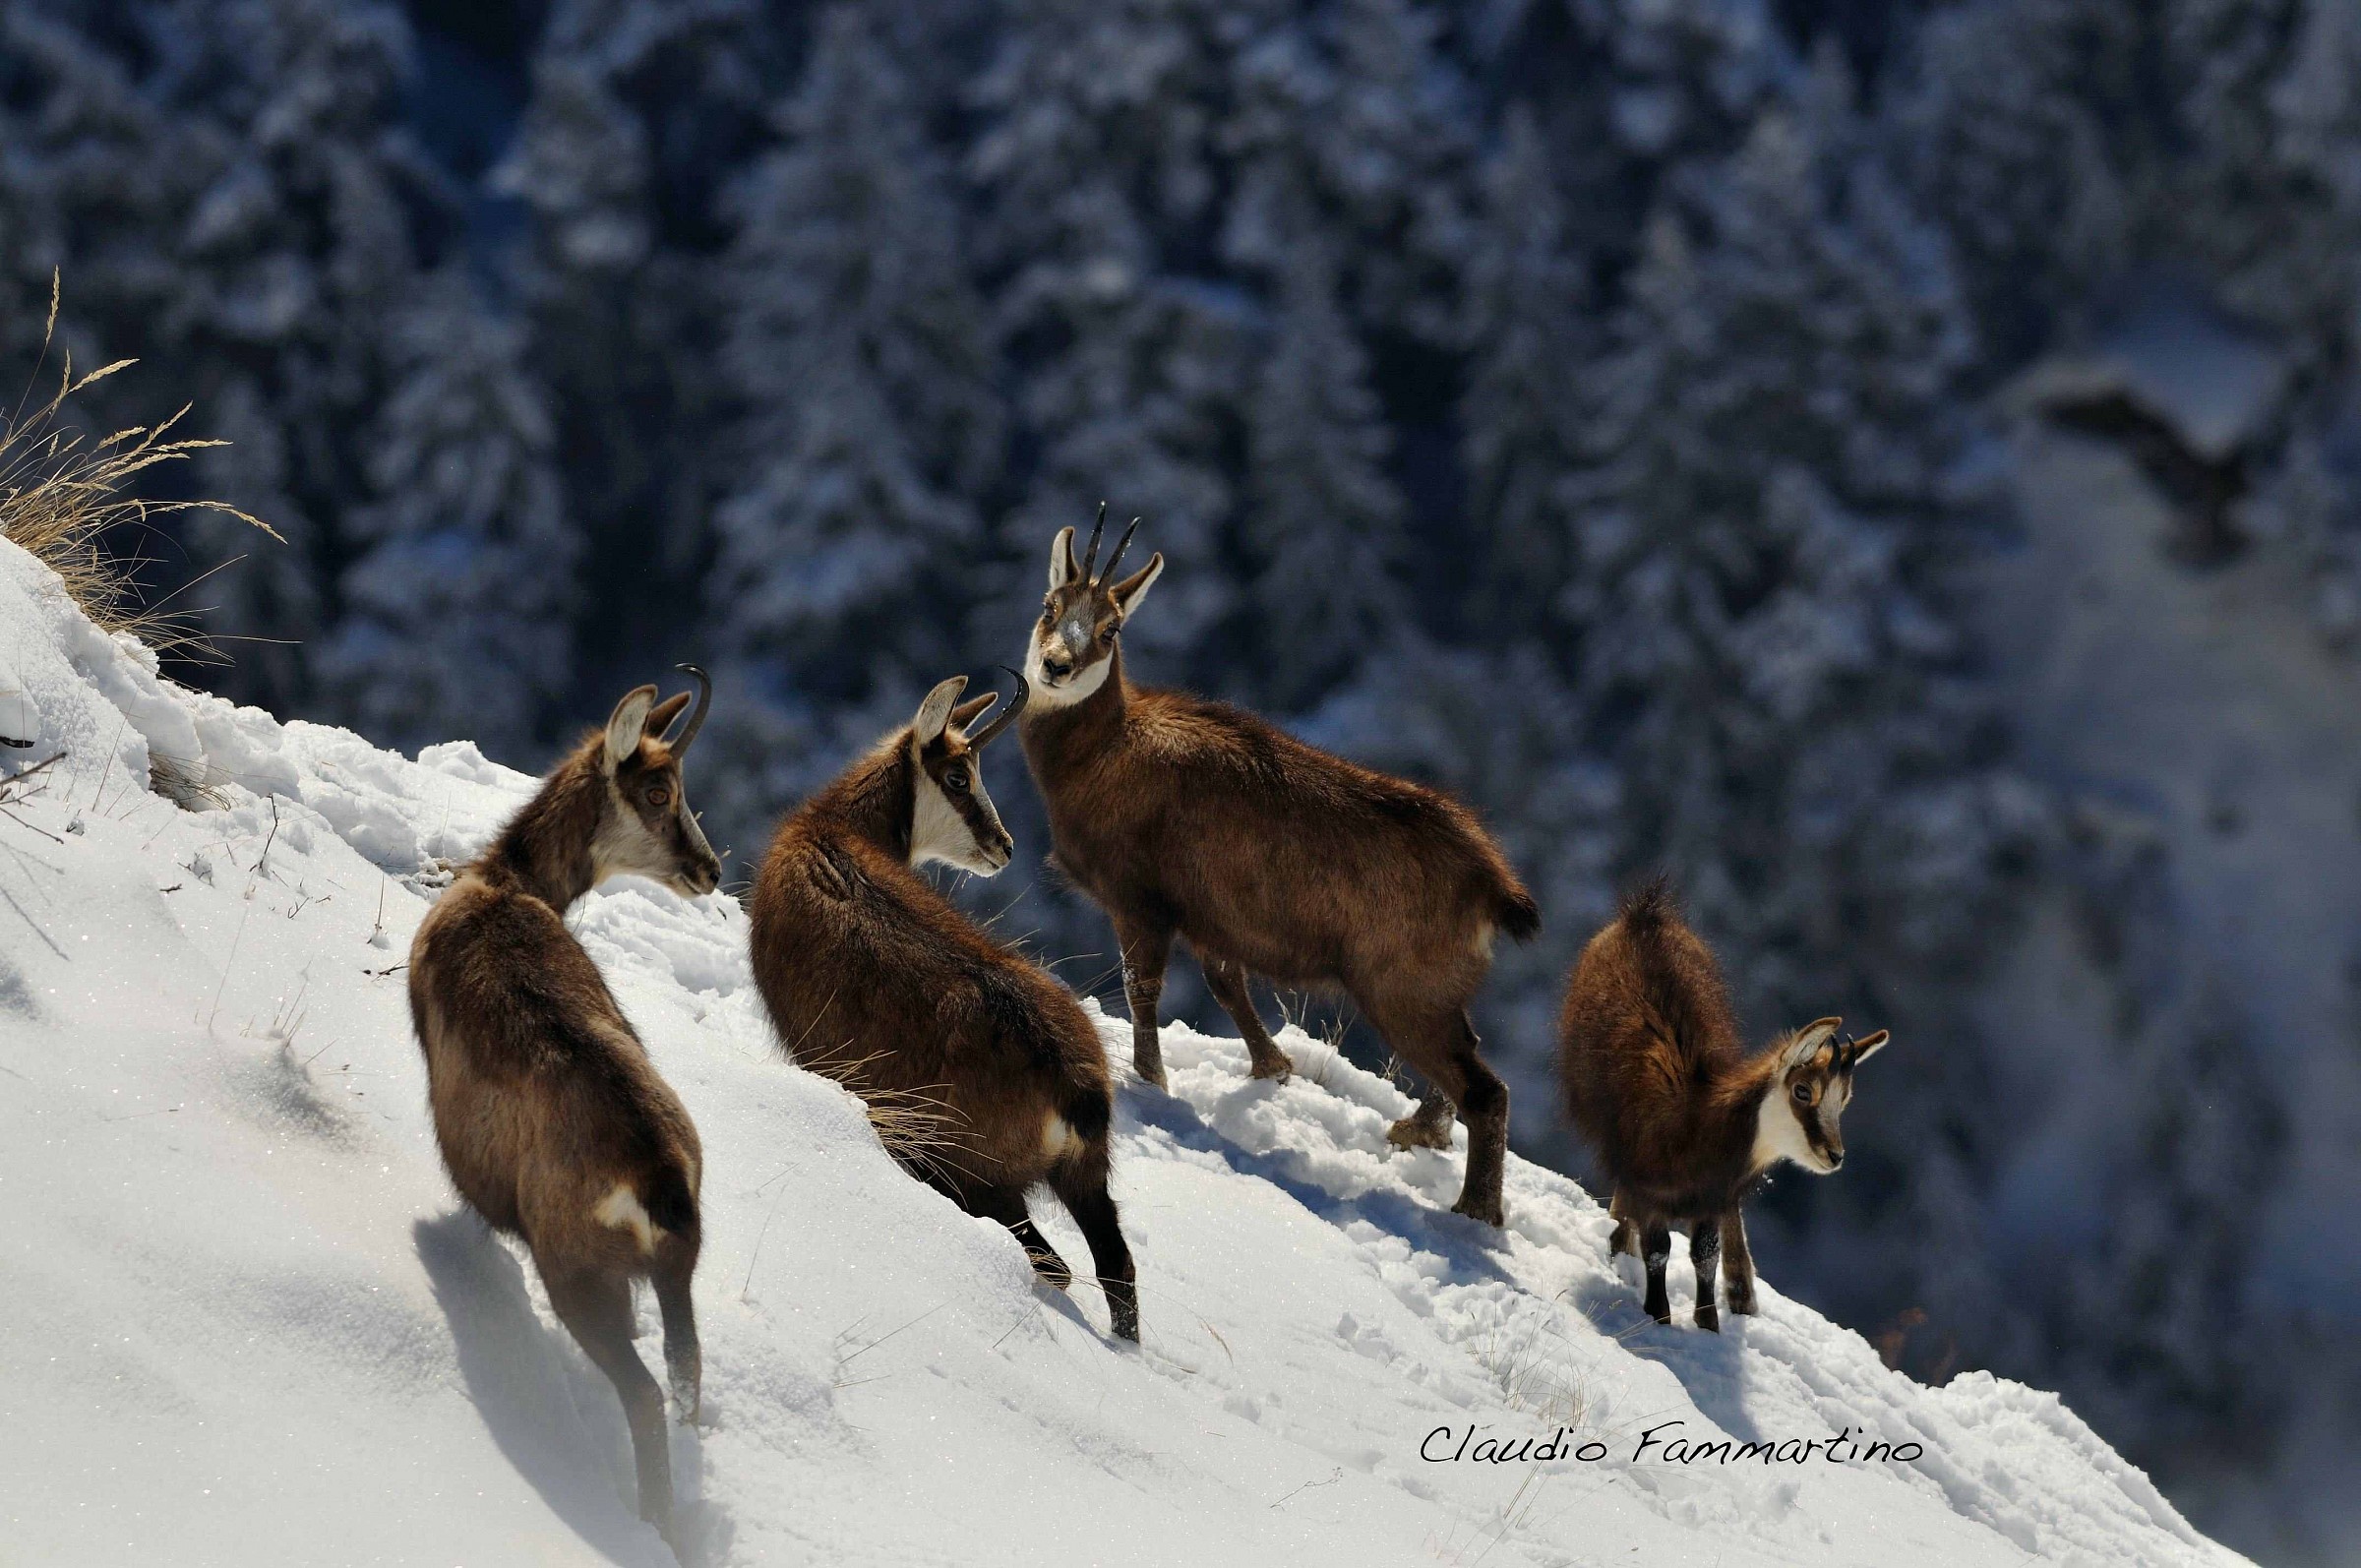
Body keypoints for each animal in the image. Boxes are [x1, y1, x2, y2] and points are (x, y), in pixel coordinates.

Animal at [407, 667, 721, 1545]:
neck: (502, 882)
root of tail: (655, 1177)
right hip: (679, 1266)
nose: (710, 869)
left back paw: (647, 1521)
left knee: (642, 1391)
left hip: (579, 1271)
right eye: (660, 789)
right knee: (685, 1369)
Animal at [747, 670, 1140, 1342]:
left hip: (973, 1173)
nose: (1004, 845)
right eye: (959, 777)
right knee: (1116, 1264)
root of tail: (1070, 1079)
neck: (837, 830)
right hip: (1084, 1171)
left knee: (1051, 1264)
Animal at [1014, 510, 1539, 1228]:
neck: (1104, 754)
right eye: (1050, 605)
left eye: (1109, 629)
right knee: (1470, 1052)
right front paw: (1274, 1067)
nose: (1057, 666)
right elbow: (1226, 984)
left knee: (1487, 1088)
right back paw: (1420, 1131)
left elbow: (1142, 987)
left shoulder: (1140, 898)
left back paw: (1475, 1209)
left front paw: (1151, 1080)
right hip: (1431, 987)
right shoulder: (1211, 917)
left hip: (1398, 985)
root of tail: (1493, 884)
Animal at [1557, 877, 1890, 1330]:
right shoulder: (1648, 1183)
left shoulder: (1714, 1197)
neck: (1696, 1121)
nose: (1834, 1155)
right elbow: (1658, 1247)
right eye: (1803, 1091)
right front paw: (1659, 1318)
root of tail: (1645, 914)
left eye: (1845, 1100)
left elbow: (1705, 1255)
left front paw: (1709, 1325)